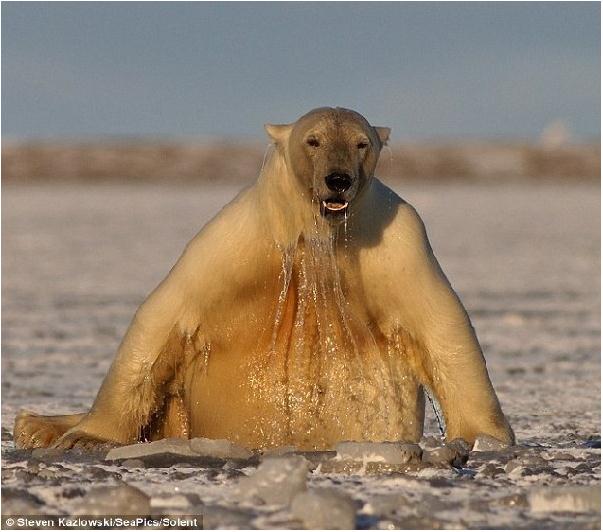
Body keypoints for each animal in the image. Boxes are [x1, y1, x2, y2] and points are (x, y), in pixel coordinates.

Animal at [13, 107, 516, 448]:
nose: (338, 179)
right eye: (313, 140)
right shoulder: (236, 239)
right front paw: (87, 437)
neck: (317, 237)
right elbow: (164, 319)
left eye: (361, 143)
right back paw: (36, 425)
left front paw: (484, 439)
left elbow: (442, 326)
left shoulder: (398, 241)